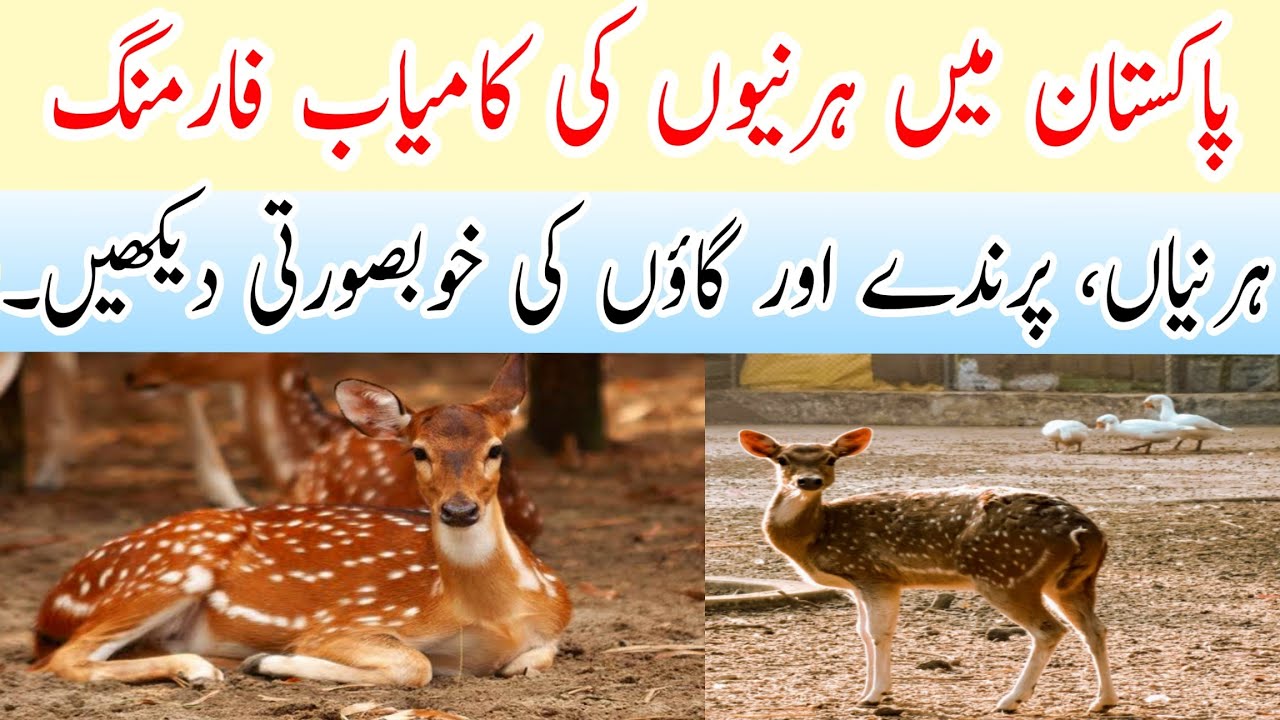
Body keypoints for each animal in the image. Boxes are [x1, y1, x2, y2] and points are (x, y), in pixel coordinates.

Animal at [739, 427, 1118, 714]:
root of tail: (1087, 532)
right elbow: (863, 633)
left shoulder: (874, 574)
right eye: (782, 459)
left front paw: (874, 695)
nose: (809, 481)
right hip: (1071, 582)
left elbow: (878, 633)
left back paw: (1010, 701)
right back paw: (1103, 701)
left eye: (831, 458)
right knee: (1094, 628)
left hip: (1006, 575)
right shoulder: (860, 584)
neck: (816, 535)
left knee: (1049, 630)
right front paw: (871, 691)